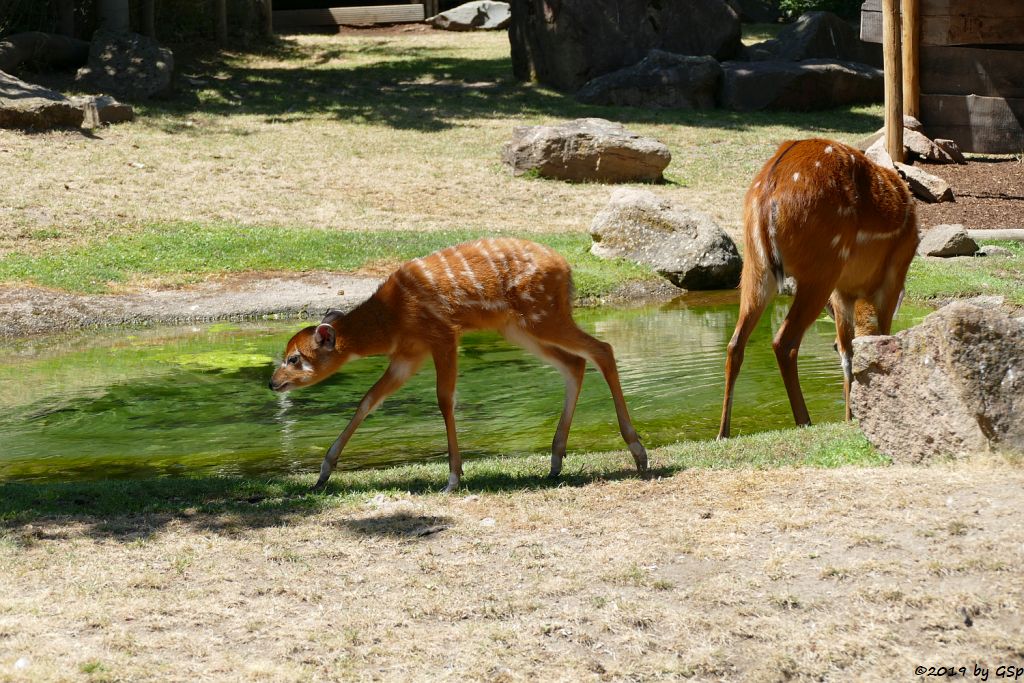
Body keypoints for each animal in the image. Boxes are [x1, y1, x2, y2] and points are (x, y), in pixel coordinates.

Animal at [266, 239, 647, 491]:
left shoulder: (443, 336)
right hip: (519, 327)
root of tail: (566, 269)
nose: (273, 382)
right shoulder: (408, 356)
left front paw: (452, 478)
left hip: (543, 316)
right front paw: (323, 473)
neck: (392, 318)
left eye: (295, 358)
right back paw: (555, 462)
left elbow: (445, 399)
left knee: (602, 349)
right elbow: (369, 400)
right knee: (574, 363)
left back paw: (639, 454)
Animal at [720, 139, 921, 438]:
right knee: (784, 342)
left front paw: (851, 416)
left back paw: (723, 433)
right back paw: (805, 420)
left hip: (756, 268)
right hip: (821, 270)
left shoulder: (842, 293)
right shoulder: (891, 279)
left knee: (736, 343)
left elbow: (847, 350)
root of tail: (767, 191)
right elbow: (875, 341)